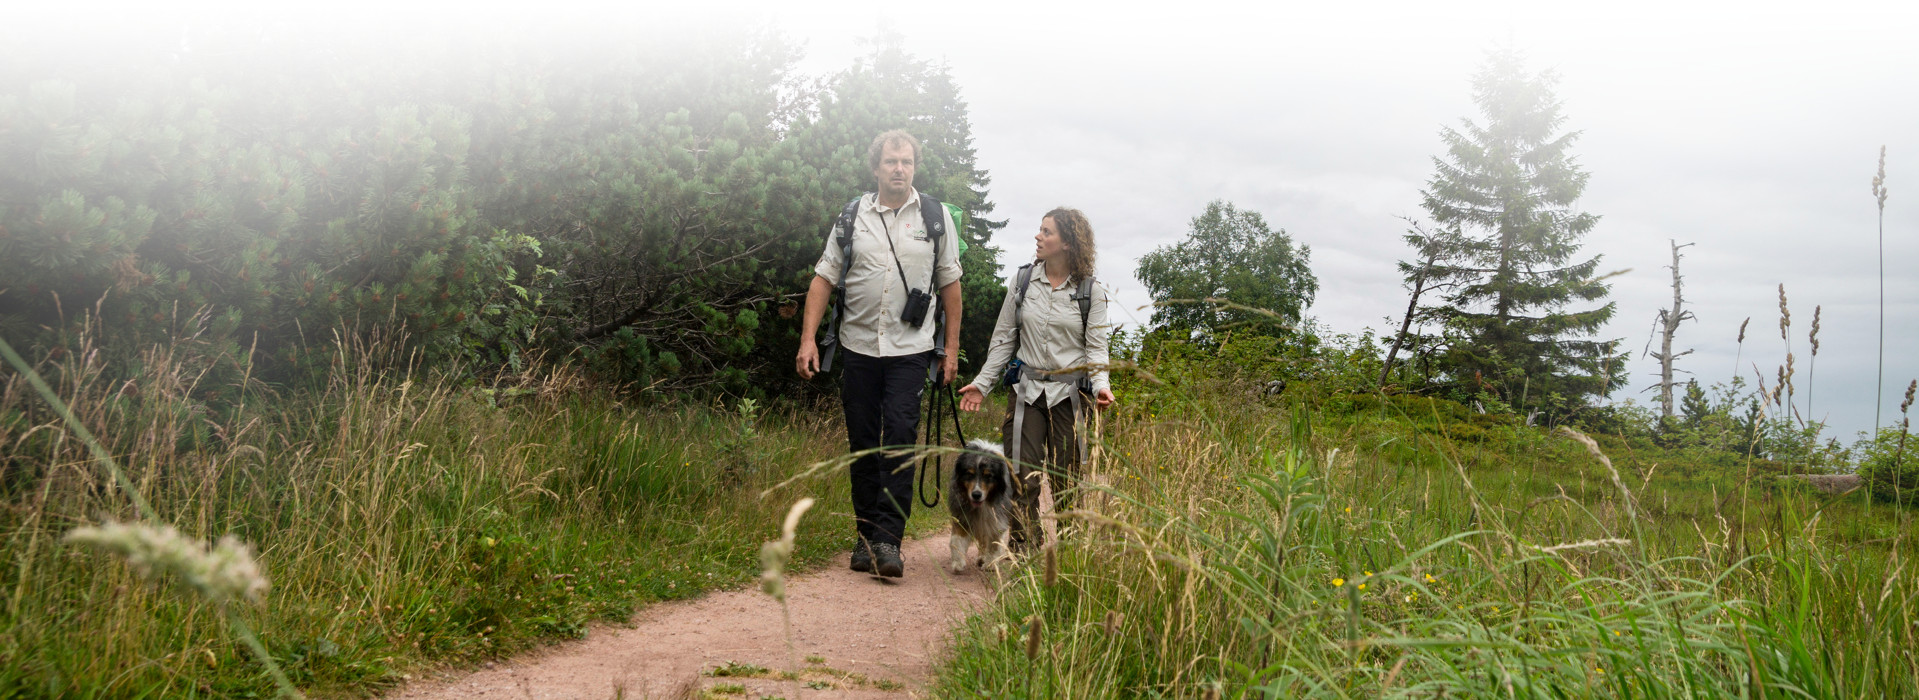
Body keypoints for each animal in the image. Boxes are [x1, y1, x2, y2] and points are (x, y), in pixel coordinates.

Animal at [947, 439, 1020, 571]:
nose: (976, 494)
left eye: (988, 475)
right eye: (969, 474)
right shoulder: (962, 516)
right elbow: (956, 540)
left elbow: (995, 542)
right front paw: (958, 562)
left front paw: (990, 563)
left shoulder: (997, 518)